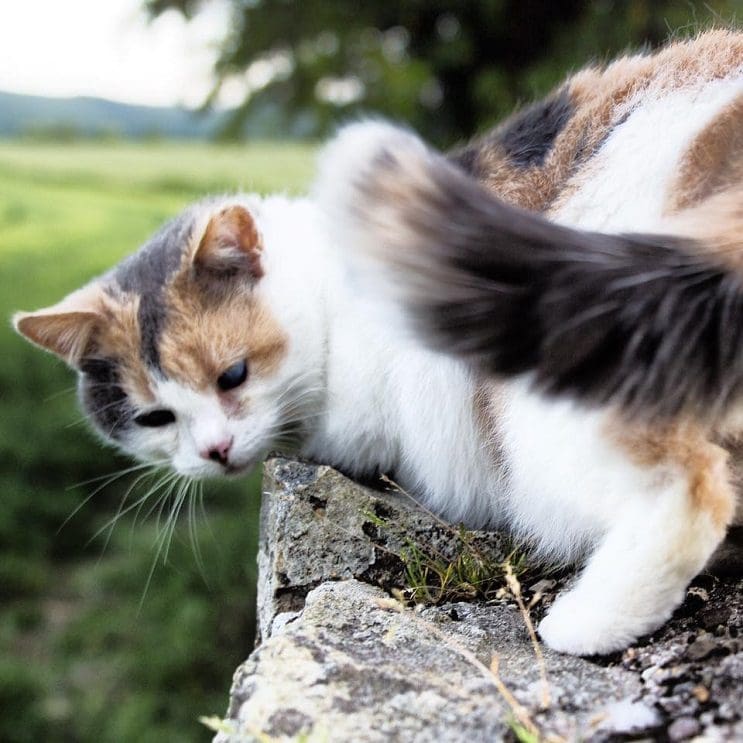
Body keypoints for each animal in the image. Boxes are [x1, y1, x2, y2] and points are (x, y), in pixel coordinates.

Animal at [13, 29, 743, 656]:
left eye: (233, 375)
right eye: (154, 418)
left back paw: (586, 622)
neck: (329, 292)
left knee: (687, 491)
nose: (214, 450)